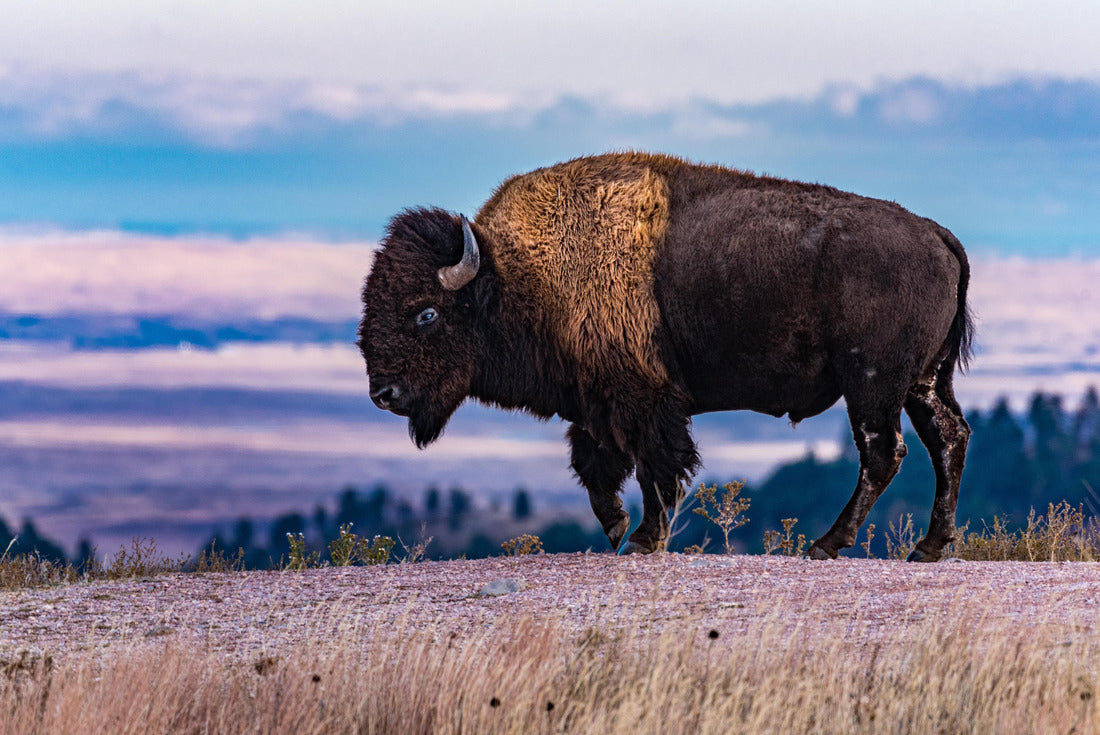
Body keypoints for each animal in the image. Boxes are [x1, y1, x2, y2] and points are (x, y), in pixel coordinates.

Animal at [358, 152, 972, 561]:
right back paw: (928, 547)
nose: (382, 393)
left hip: (872, 384)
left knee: (883, 452)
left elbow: (655, 467)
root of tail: (937, 234)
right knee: (949, 439)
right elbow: (597, 469)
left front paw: (641, 539)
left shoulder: (643, 400)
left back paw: (827, 544)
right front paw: (616, 529)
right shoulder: (595, 404)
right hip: (922, 383)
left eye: (426, 313)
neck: (517, 274)